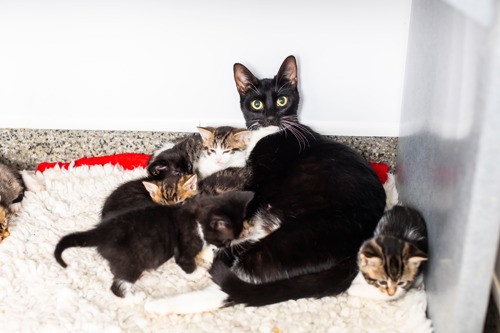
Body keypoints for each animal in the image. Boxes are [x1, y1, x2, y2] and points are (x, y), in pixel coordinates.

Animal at [55, 189, 254, 296]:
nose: (227, 246)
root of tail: (101, 231)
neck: (196, 217)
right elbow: (187, 264)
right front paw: (200, 273)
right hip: (131, 261)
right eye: (226, 239)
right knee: (118, 286)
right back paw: (134, 299)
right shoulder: (184, 248)